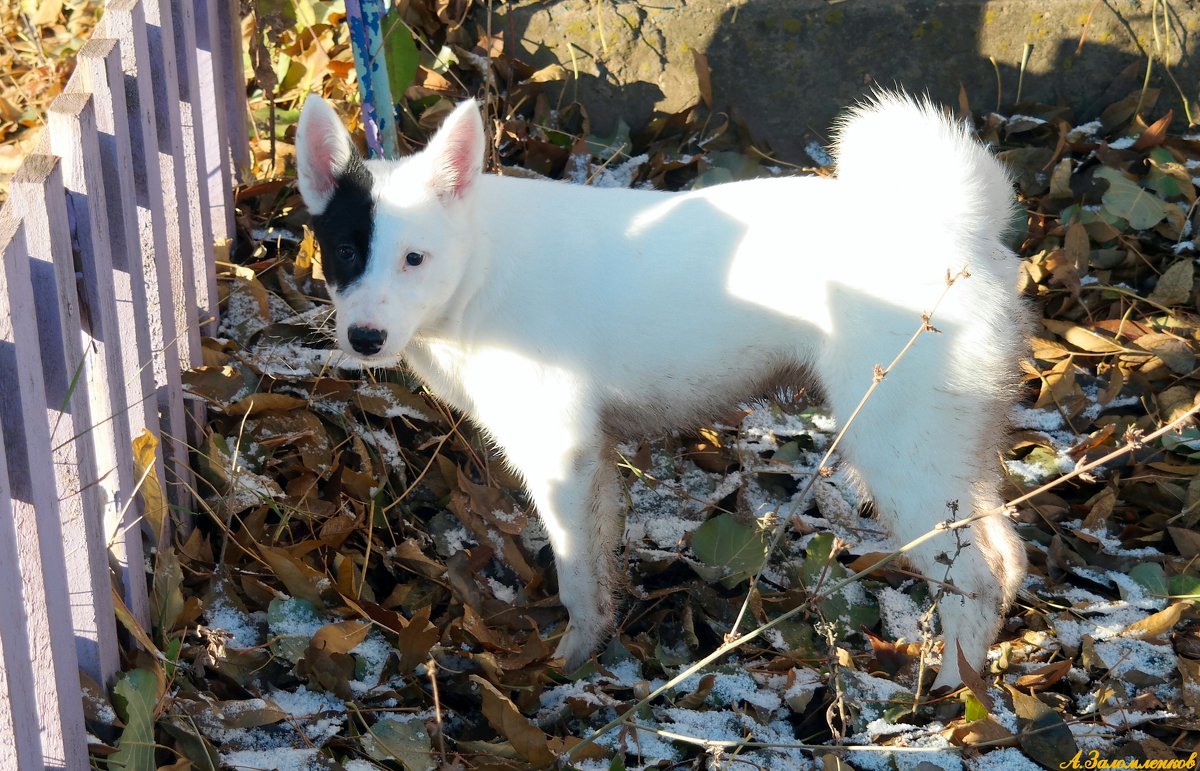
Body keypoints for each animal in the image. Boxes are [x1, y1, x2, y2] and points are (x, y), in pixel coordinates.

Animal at [295, 90, 1027, 682]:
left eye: (414, 258)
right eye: (346, 253)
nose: (364, 338)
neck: (479, 263)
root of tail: (961, 230)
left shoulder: (559, 454)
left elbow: (575, 572)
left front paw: (566, 665)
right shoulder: (592, 458)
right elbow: (598, 568)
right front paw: (594, 646)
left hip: (899, 450)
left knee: (976, 577)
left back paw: (947, 701)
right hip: (952, 446)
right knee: (1008, 557)